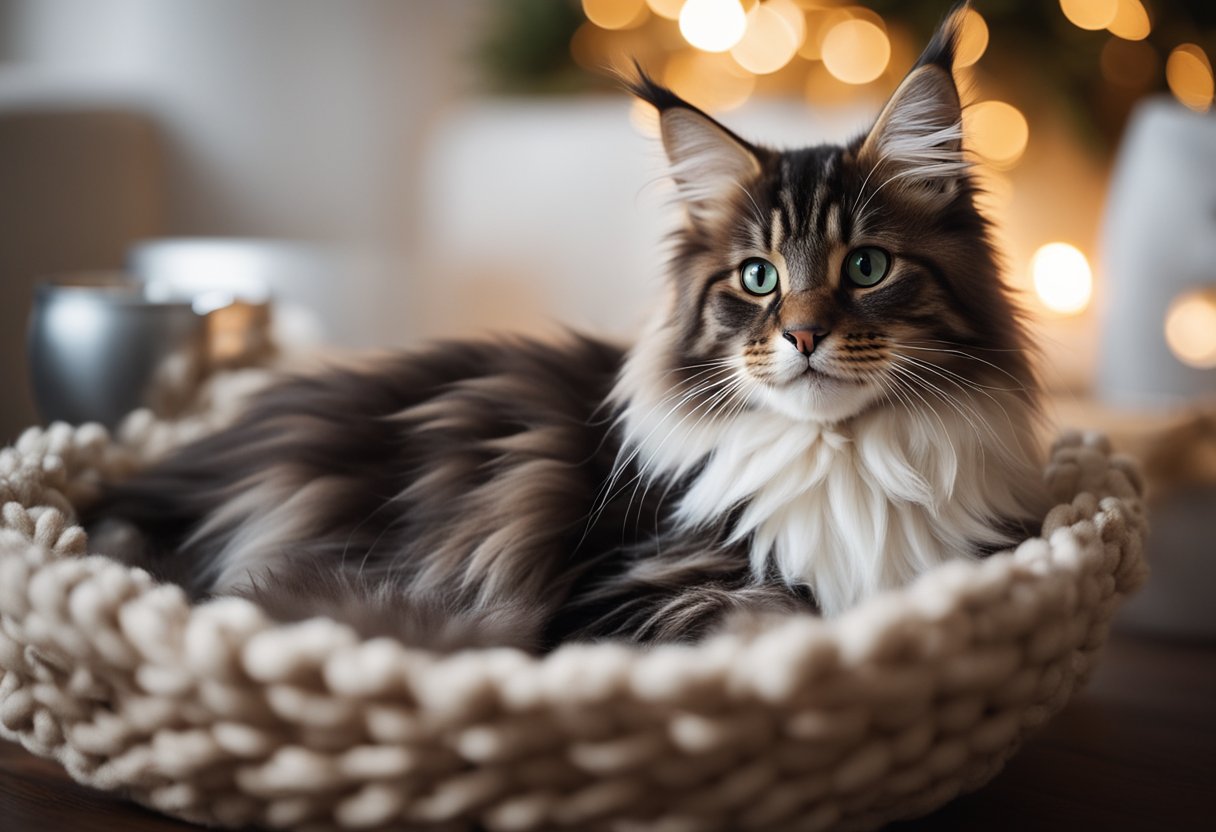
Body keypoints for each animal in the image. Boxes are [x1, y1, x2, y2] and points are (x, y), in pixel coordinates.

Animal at [94, 9, 1045, 651]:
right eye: (759, 278)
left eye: (867, 268)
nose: (804, 336)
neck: (839, 459)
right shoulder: (625, 591)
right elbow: (773, 624)